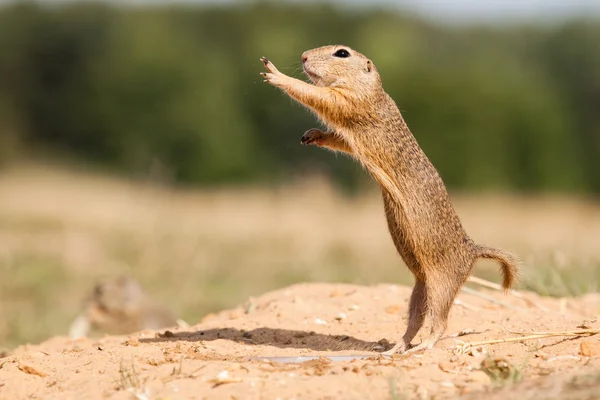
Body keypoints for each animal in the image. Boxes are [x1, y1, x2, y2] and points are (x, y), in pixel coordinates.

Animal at [260, 45, 516, 354]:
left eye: (342, 53)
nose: (304, 56)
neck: (373, 89)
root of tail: (473, 250)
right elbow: (339, 138)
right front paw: (312, 135)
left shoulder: (349, 101)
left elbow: (317, 95)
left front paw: (275, 73)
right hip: (420, 287)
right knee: (416, 319)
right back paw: (396, 348)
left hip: (442, 282)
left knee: (440, 321)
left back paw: (422, 346)